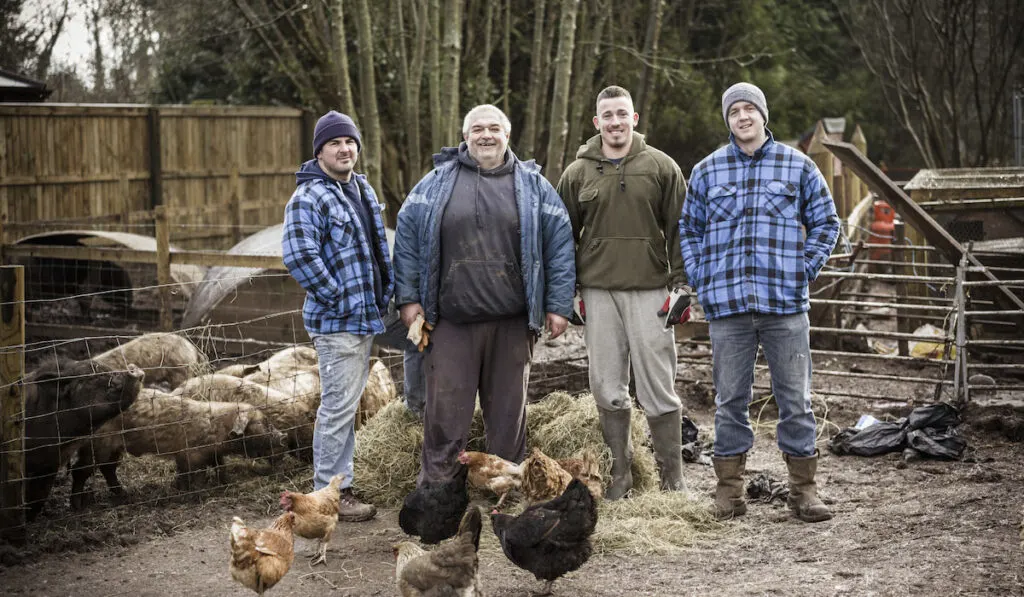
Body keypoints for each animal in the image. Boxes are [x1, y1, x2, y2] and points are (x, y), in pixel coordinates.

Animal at [69, 387, 284, 503]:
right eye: (263, 423)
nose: (282, 436)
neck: (218, 430)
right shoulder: (191, 455)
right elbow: (194, 474)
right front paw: (195, 493)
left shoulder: (207, 453)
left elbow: (219, 466)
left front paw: (225, 484)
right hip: (99, 445)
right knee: (80, 470)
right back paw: (76, 506)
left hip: (113, 447)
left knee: (108, 469)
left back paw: (123, 495)